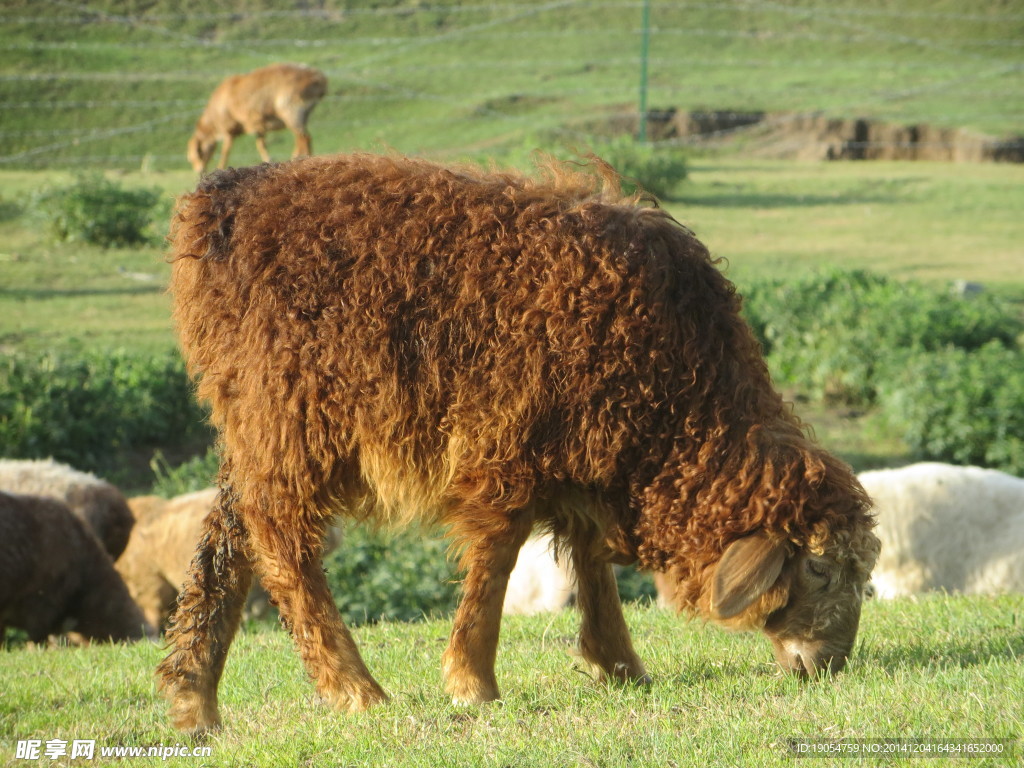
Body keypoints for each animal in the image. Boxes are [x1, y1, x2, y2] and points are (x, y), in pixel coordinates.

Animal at [157, 150, 880, 733]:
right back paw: (351, 688)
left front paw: (619, 664)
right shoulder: (509, 443)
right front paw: (472, 682)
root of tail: (222, 197)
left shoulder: (585, 450)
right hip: (293, 409)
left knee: (229, 539)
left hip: (253, 417)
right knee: (279, 536)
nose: (831, 664)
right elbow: (497, 559)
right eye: (818, 568)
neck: (682, 398)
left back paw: (195, 699)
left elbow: (589, 555)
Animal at [186, 63, 325, 174]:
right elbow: (261, 145)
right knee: (302, 139)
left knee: (304, 138)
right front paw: (267, 160)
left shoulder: (228, 131)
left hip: (292, 111)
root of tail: (318, 77)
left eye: (199, 153)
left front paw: (220, 167)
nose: (199, 171)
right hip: (301, 115)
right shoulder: (258, 126)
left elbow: (225, 152)